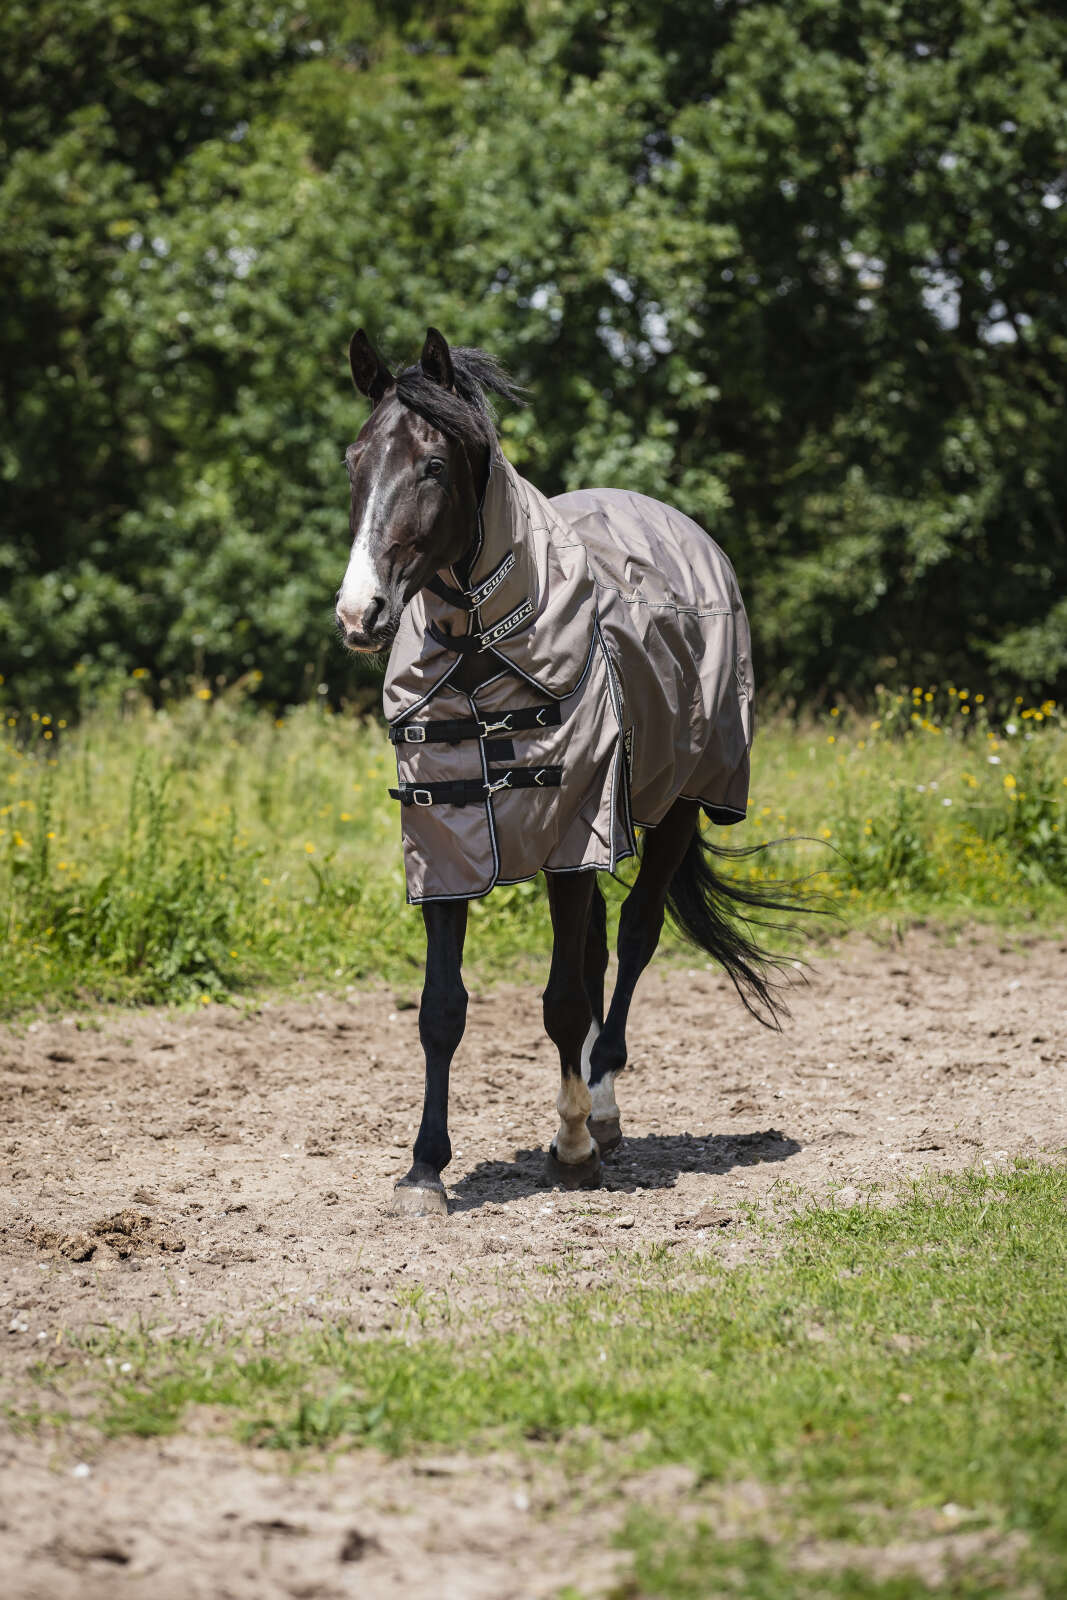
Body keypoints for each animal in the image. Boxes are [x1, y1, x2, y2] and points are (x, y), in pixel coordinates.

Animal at [336, 326, 799, 1216]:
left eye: (432, 466)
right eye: (354, 461)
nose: (359, 613)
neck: (483, 656)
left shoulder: (571, 838)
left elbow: (561, 999)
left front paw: (575, 1147)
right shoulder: (445, 841)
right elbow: (441, 1010)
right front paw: (425, 1170)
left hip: (674, 809)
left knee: (633, 939)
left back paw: (604, 1107)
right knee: (594, 953)